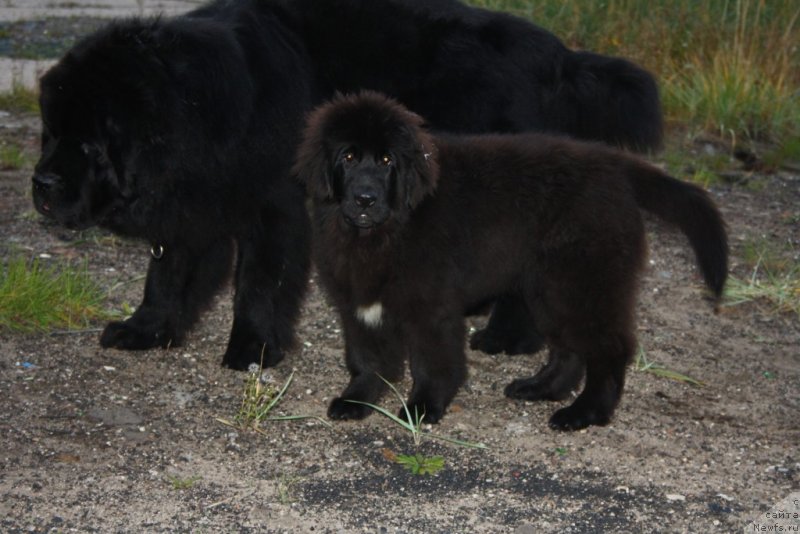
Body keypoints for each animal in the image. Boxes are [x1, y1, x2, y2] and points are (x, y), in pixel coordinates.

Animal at [32, 0, 664, 370]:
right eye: (50, 133)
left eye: (89, 145)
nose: (41, 182)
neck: (209, 109)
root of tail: (561, 59)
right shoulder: (193, 209)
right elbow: (167, 278)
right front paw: (147, 329)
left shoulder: (276, 210)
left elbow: (259, 286)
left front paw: (252, 349)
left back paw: (508, 337)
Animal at [296, 92, 732, 434]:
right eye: (348, 157)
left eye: (387, 161)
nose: (365, 199)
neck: (383, 232)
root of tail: (614, 165)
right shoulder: (358, 304)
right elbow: (367, 359)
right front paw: (358, 400)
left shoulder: (431, 306)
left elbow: (433, 363)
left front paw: (423, 408)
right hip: (549, 289)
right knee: (568, 350)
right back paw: (540, 389)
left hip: (582, 284)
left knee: (608, 350)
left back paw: (584, 413)